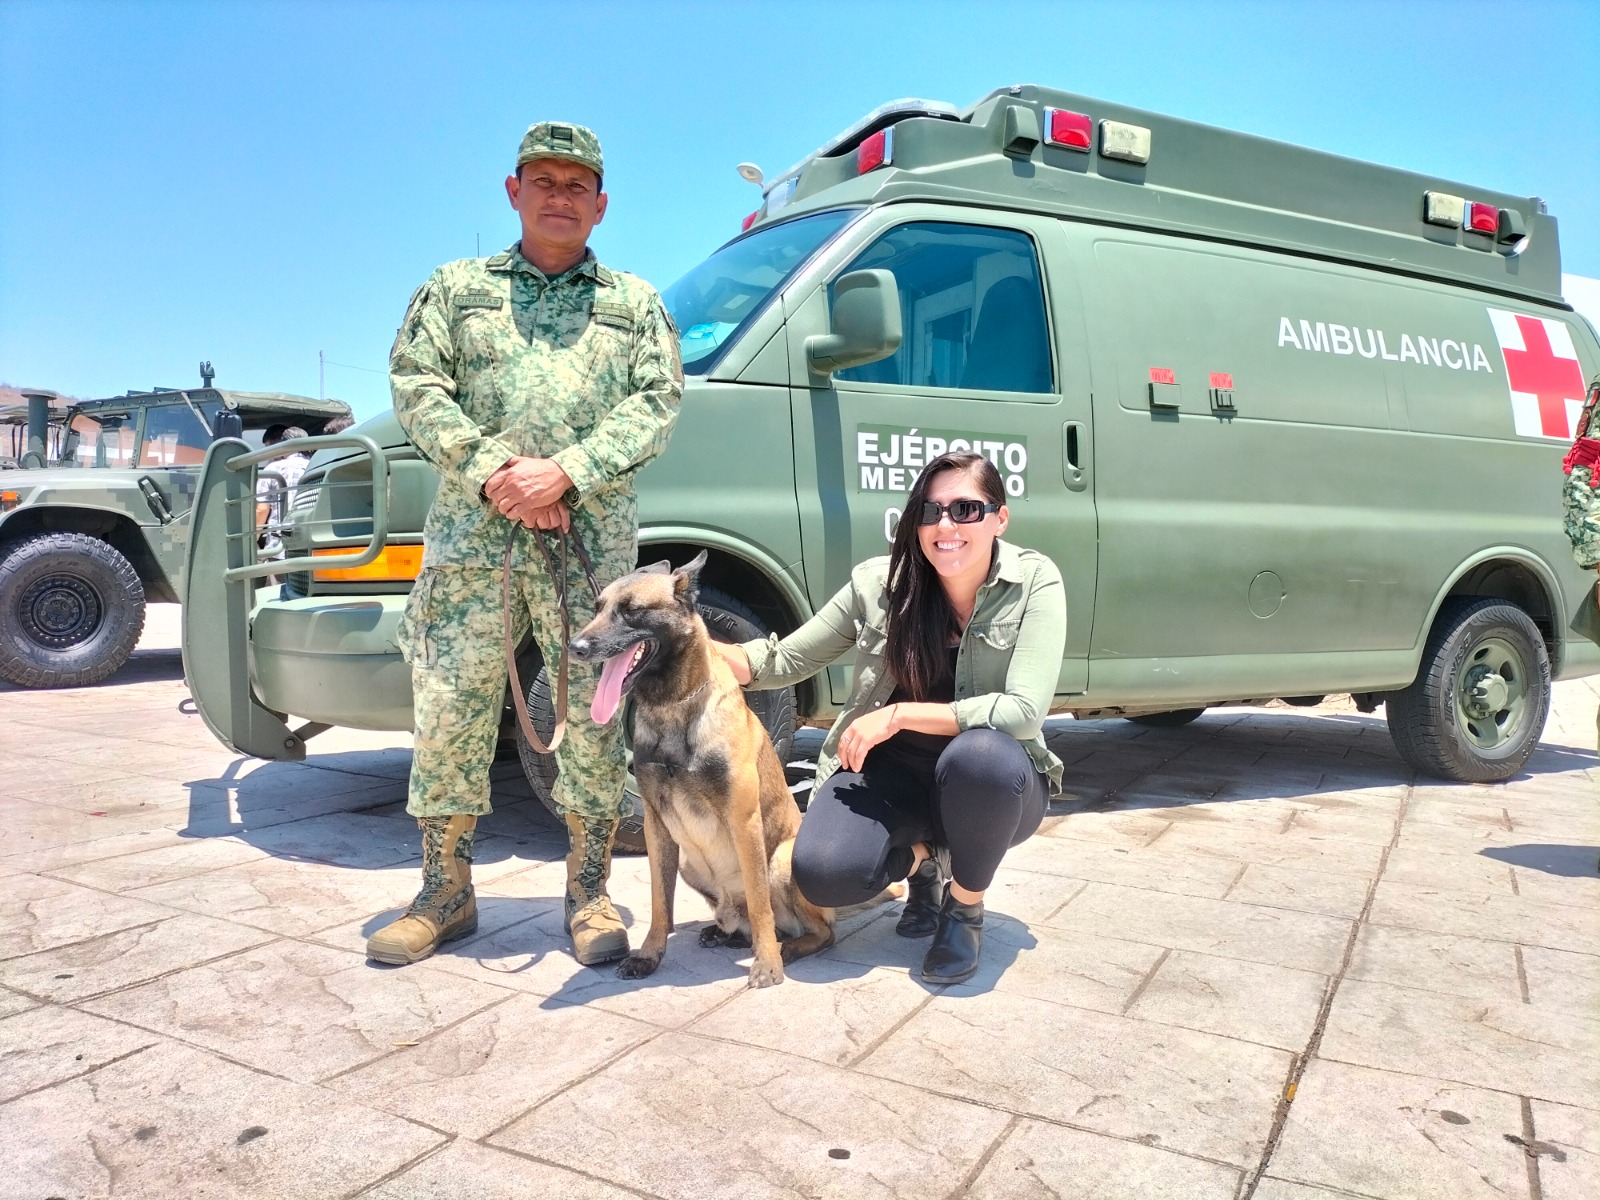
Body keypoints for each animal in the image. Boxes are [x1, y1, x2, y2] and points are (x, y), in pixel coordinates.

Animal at [569, 553, 832, 985]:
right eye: (597, 608)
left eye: (632, 611)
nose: (575, 647)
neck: (672, 707)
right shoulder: (656, 827)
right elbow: (661, 902)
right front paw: (650, 954)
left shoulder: (744, 822)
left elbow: (760, 903)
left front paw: (768, 963)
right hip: (691, 865)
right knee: (741, 918)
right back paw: (727, 933)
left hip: (781, 860)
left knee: (819, 931)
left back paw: (787, 948)